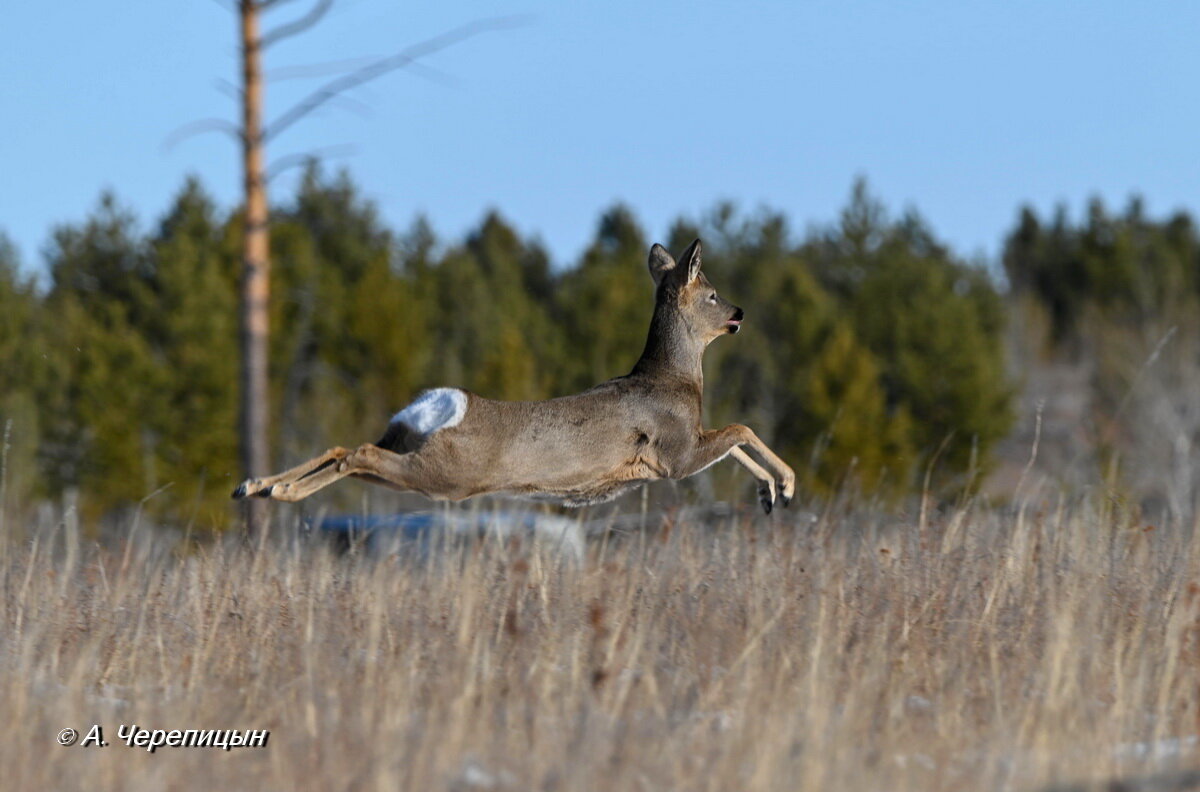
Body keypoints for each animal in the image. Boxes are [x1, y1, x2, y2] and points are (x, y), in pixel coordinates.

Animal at [232, 241, 796, 513]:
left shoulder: (686, 446)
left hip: (408, 447)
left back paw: (257, 486)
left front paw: (770, 494)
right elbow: (742, 429)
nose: (740, 313)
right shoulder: (675, 453)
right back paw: (275, 492)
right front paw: (785, 486)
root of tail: (439, 403)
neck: (675, 379)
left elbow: (736, 440)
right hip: (446, 473)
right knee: (357, 454)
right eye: (713, 294)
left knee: (342, 449)